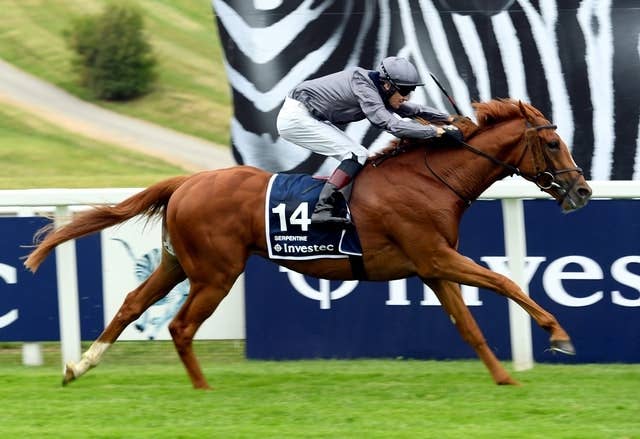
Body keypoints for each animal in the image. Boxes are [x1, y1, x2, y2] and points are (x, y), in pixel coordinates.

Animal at [25, 99, 592, 389]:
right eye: (551, 141)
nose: (583, 190)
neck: (431, 179)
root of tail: (185, 183)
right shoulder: (435, 255)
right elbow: (504, 281)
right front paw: (559, 334)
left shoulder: (432, 266)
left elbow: (469, 326)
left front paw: (504, 380)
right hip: (216, 272)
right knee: (181, 326)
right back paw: (203, 390)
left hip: (176, 264)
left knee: (131, 305)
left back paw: (79, 366)